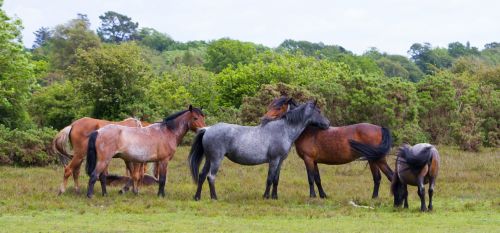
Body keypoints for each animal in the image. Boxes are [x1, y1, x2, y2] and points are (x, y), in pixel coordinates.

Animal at [189, 101, 330, 201]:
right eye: (318, 111)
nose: (328, 124)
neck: (283, 130)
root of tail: (207, 129)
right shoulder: (274, 160)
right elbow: (270, 178)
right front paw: (266, 196)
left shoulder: (280, 161)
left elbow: (276, 179)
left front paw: (275, 197)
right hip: (216, 159)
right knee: (211, 177)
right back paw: (214, 197)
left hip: (209, 159)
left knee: (202, 175)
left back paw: (197, 197)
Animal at [262, 96, 394, 198]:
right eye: (269, 106)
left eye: (278, 107)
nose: (264, 119)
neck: (308, 131)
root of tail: (380, 128)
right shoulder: (314, 161)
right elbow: (317, 179)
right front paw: (322, 195)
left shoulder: (308, 159)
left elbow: (310, 178)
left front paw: (312, 196)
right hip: (377, 160)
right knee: (385, 176)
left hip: (375, 159)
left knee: (381, 177)